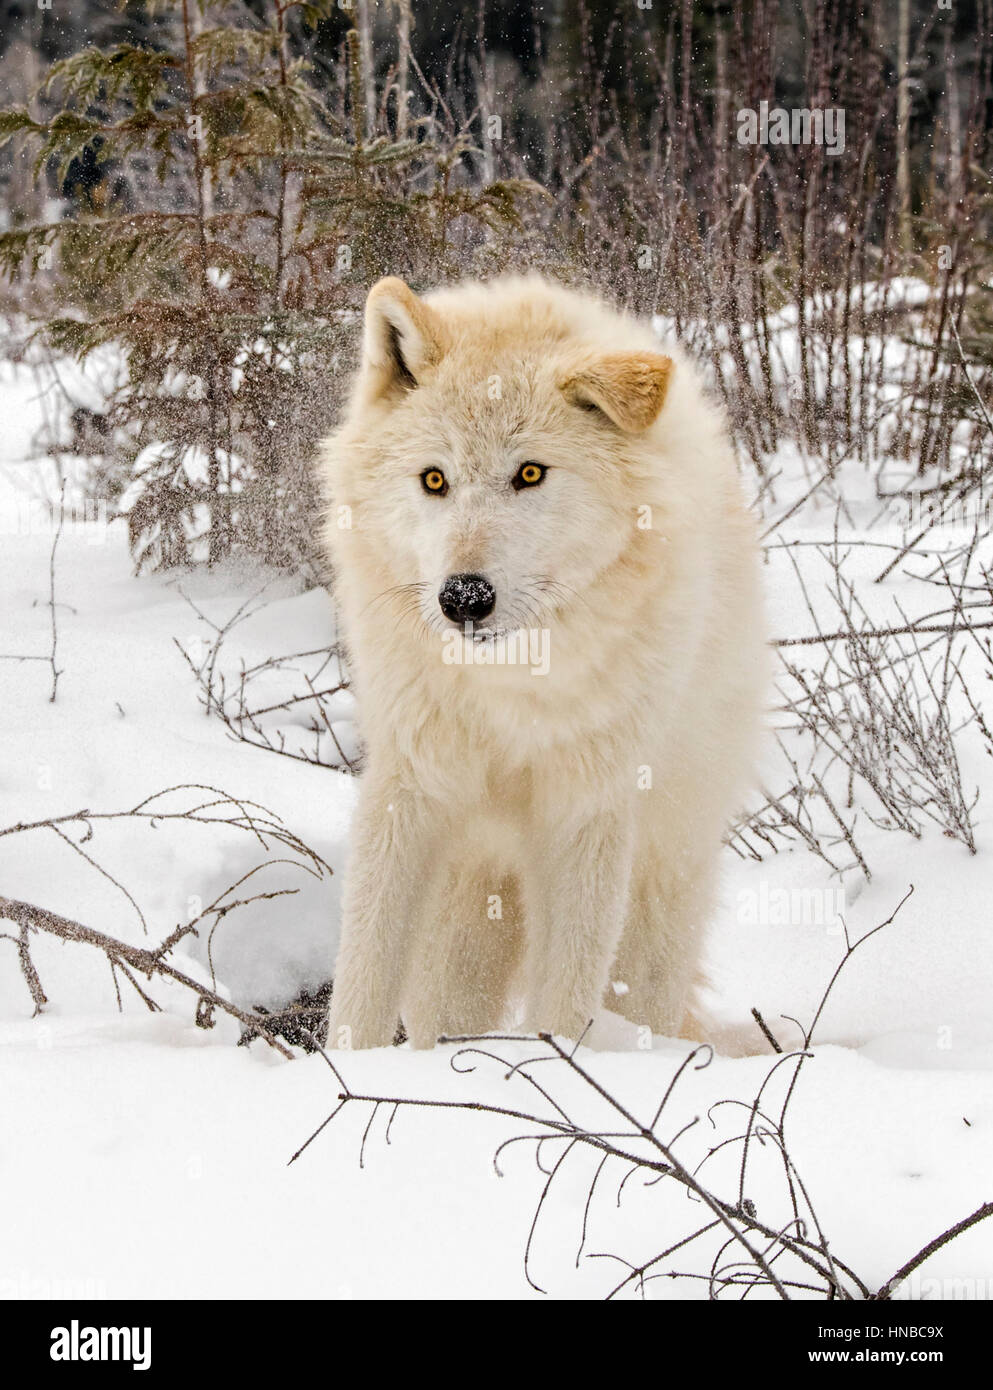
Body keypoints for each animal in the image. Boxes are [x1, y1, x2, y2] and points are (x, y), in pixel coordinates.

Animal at [319, 275, 766, 1049]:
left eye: (529, 473)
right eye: (433, 480)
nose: (463, 597)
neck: (512, 690)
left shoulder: (587, 809)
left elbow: (566, 994)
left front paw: (558, 1063)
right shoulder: (411, 783)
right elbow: (364, 972)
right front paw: (347, 1064)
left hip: (654, 898)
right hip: (462, 918)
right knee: (442, 1010)